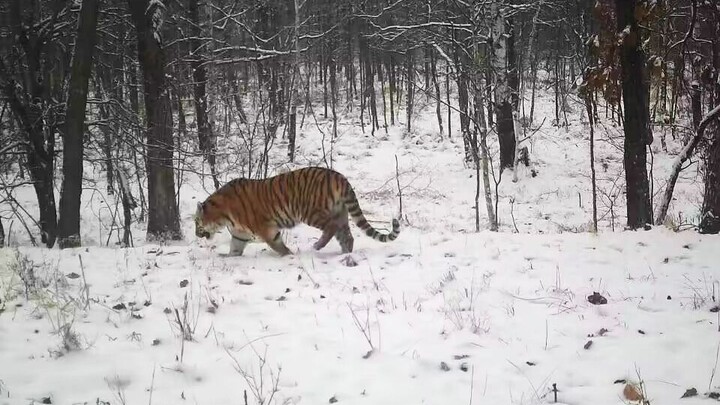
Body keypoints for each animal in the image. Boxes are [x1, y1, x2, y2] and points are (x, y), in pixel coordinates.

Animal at [194, 166, 401, 257]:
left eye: (196, 222)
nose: (196, 234)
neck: (224, 215)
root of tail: (340, 177)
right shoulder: (240, 234)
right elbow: (234, 249)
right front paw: (228, 257)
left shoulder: (267, 230)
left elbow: (278, 246)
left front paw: (289, 256)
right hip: (340, 211)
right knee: (347, 236)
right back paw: (344, 254)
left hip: (310, 211)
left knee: (331, 227)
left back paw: (318, 246)